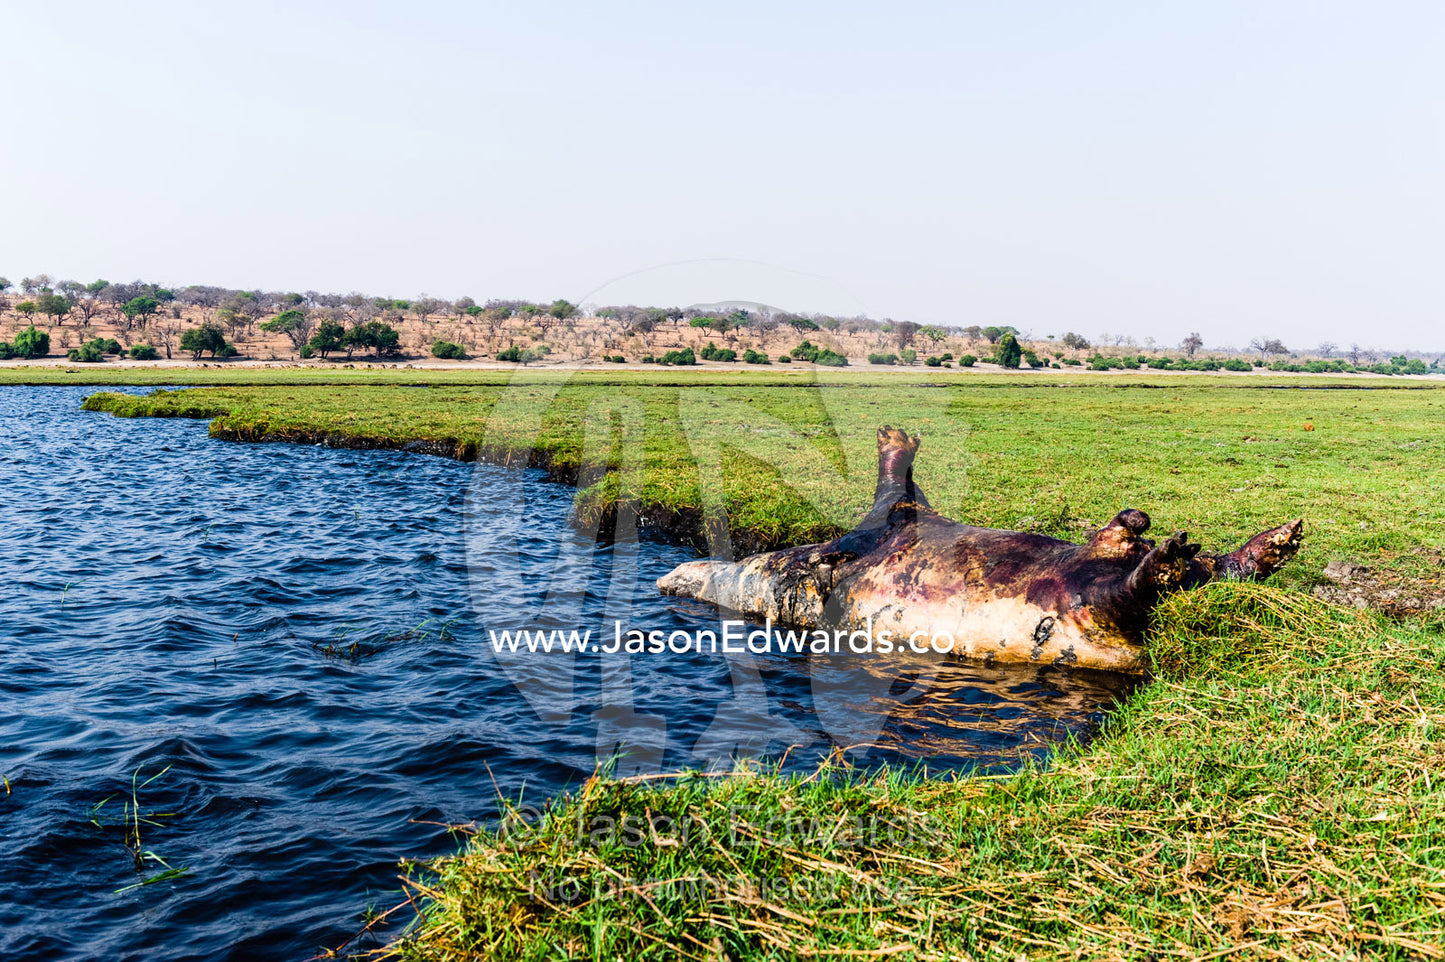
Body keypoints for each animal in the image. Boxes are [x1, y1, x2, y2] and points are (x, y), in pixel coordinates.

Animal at [658, 426, 1303, 672]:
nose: (669, 577)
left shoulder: (878, 529)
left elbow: (898, 496)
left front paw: (896, 441)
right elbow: (893, 497)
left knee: (1193, 566)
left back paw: (1266, 544)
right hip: (1090, 612)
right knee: (1134, 587)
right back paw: (1174, 559)